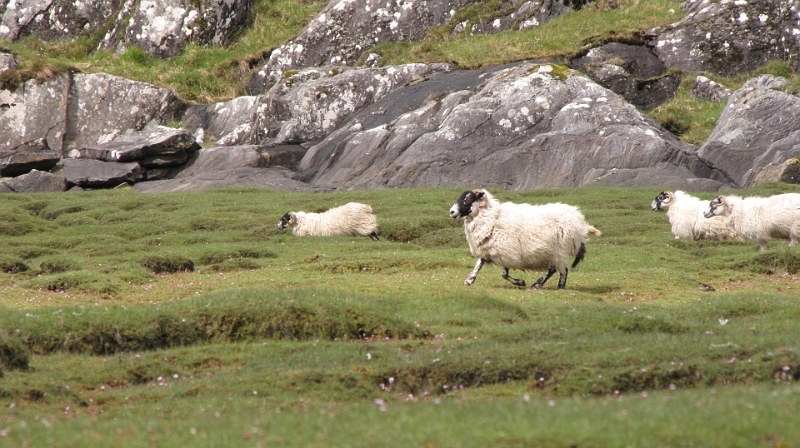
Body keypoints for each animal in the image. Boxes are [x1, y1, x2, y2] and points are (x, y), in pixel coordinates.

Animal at [450, 187, 600, 288]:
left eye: (468, 198)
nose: (452, 211)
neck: (492, 217)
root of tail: (579, 220)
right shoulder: (492, 249)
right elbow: (480, 265)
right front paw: (470, 280)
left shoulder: (507, 250)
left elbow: (503, 273)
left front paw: (520, 282)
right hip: (554, 252)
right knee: (555, 269)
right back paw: (540, 284)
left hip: (560, 250)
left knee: (561, 270)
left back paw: (553, 286)